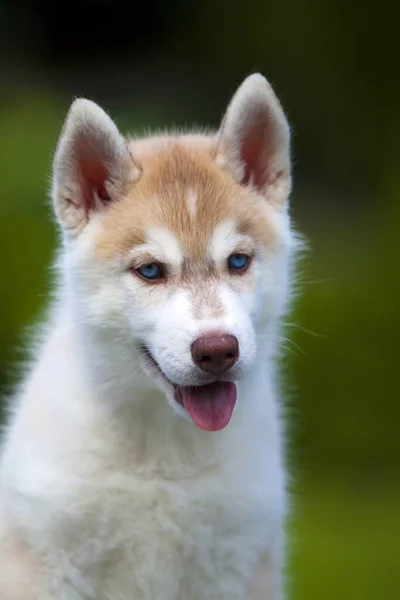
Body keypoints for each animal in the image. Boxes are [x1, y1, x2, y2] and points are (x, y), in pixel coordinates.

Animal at [0, 72, 300, 596]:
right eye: (151, 271)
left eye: (238, 261)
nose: (217, 350)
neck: (164, 452)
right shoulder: (40, 559)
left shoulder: (239, 563)